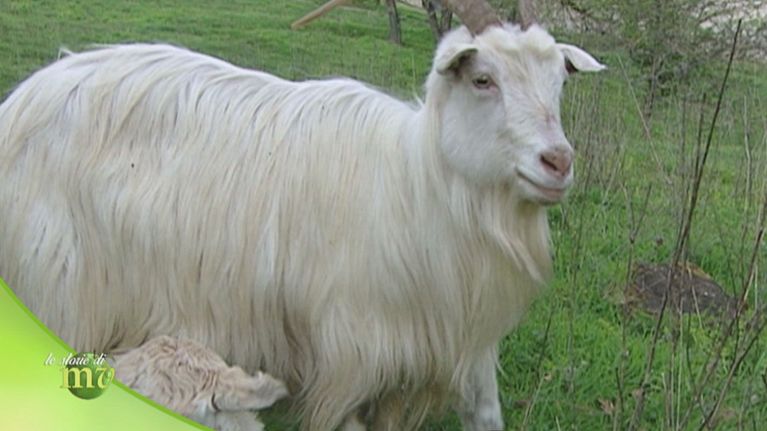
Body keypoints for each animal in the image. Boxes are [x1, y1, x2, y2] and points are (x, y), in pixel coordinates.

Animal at [0, 0, 604, 429]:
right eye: (483, 79)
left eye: (559, 81)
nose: (558, 162)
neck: (417, 184)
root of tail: (22, 99)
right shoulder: (348, 358)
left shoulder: (458, 351)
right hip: (55, 291)